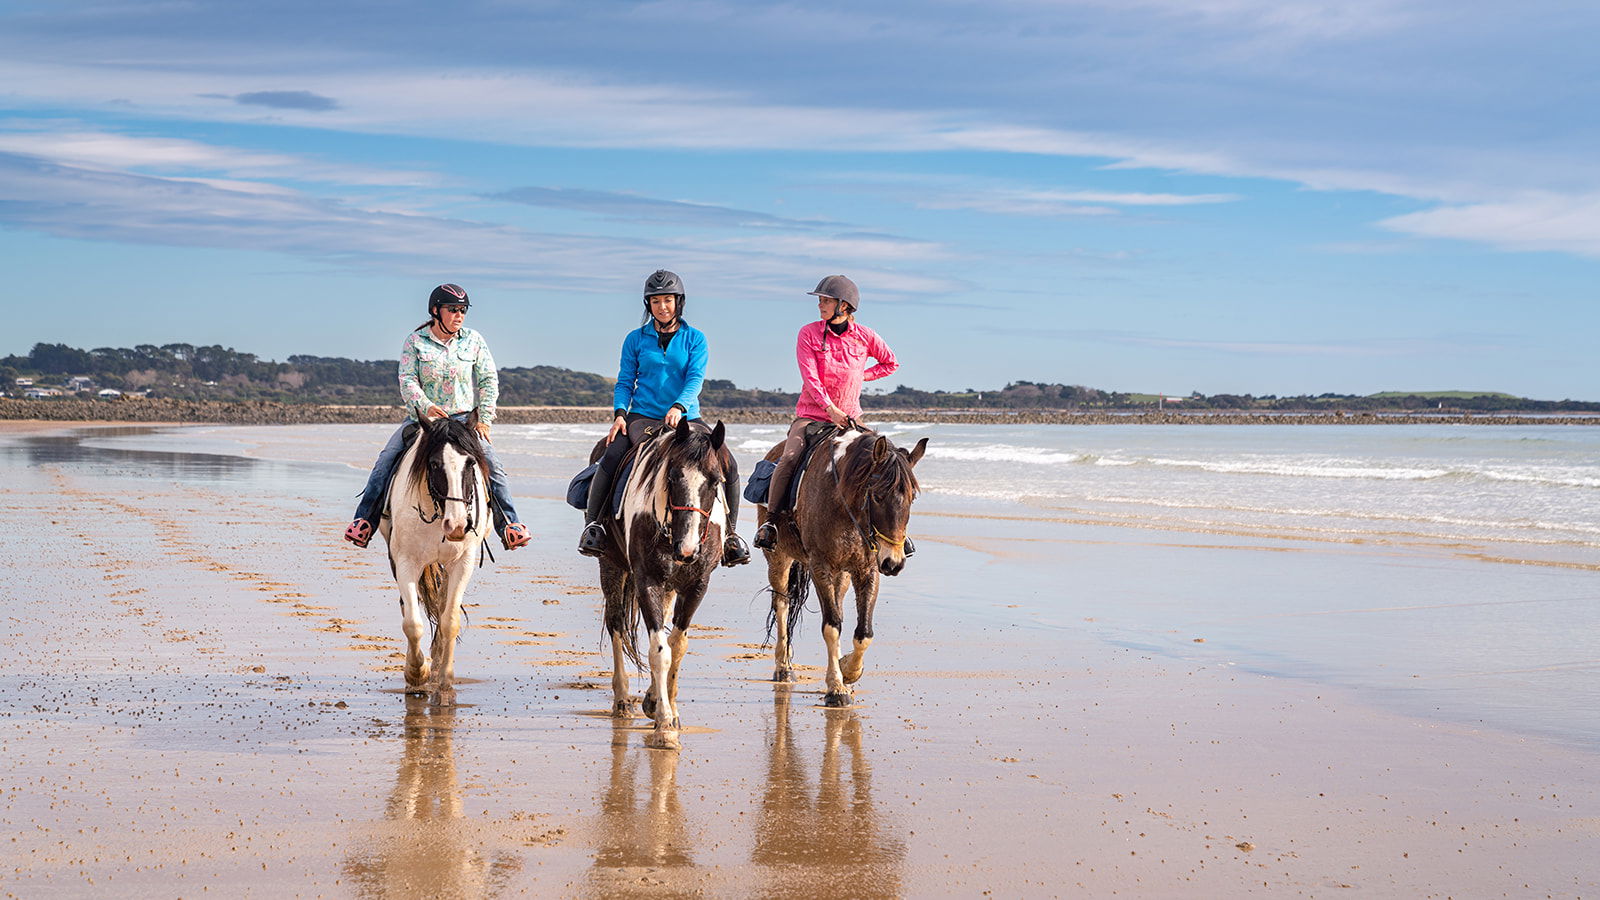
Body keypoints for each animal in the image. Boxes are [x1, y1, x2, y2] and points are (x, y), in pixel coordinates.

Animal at [378, 411, 492, 696]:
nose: (458, 525)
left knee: (441, 605)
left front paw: (445, 680)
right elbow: (412, 623)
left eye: (470, 463)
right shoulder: (405, 562)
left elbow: (449, 619)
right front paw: (417, 673)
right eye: (434, 464)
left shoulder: (463, 563)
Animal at [589, 417, 732, 750]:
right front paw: (664, 727)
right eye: (673, 475)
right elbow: (659, 650)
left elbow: (676, 646)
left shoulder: (696, 585)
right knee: (616, 624)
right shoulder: (647, 581)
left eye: (715, 481)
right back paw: (622, 699)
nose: (688, 550)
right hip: (611, 566)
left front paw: (665, 708)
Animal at [756, 426, 928, 707]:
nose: (893, 563)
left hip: (842, 575)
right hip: (779, 558)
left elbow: (863, 632)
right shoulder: (820, 567)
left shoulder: (866, 571)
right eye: (877, 496)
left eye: (912, 498)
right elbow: (831, 626)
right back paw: (783, 667)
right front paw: (836, 688)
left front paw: (847, 670)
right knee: (782, 603)